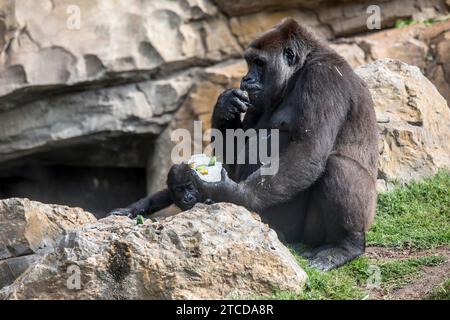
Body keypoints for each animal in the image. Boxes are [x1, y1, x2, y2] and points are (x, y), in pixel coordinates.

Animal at [188, 18, 378, 272]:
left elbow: (309, 150)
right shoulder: (256, 99)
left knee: (337, 166)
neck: (300, 70)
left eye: (259, 63)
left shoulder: (323, 77)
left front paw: (232, 193)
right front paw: (224, 106)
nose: (246, 79)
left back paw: (346, 245)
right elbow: (237, 153)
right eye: (249, 62)